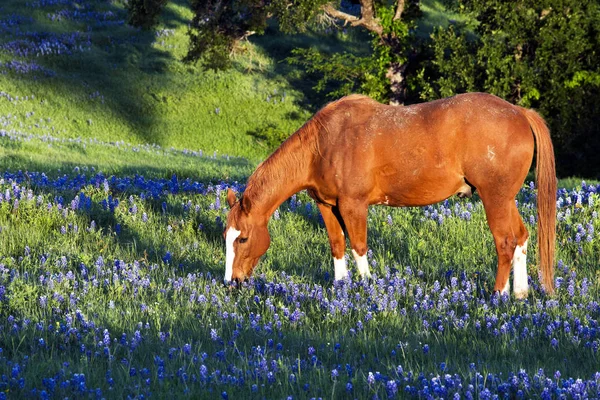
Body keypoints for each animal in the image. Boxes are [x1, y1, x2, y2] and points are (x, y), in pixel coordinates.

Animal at [225, 91, 556, 296]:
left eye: (243, 238)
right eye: (226, 237)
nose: (232, 282)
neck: (325, 142)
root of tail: (519, 112)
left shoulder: (353, 205)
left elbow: (358, 246)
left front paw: (368, 287)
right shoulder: (326, 206)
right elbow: (337, 245)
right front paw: (340, 287)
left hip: (494, 198)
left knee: (505, 242)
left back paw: (498, 294)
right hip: (506, 199)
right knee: (521, 238)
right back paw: (520, 293)